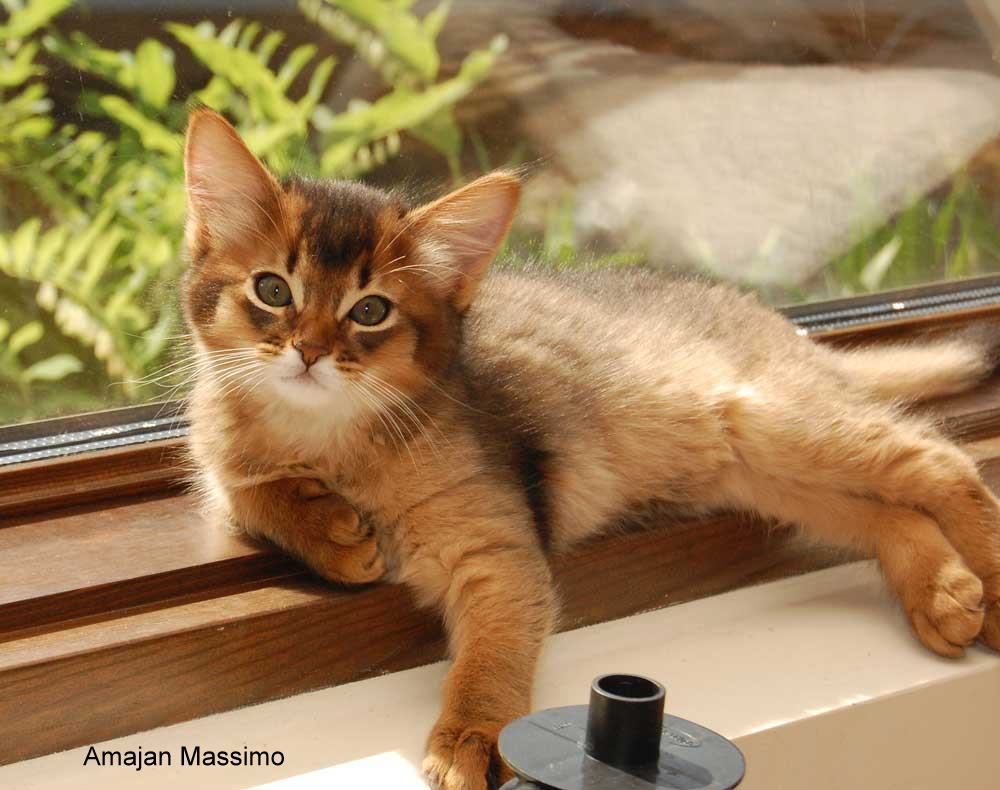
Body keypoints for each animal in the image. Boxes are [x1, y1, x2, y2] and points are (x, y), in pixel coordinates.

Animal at [181, 108, 1000, 790]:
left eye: (371, 310)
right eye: (273, 290)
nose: (310, 352)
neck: (327, 441)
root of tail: (786, 327)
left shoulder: (502, 552)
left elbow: (492, 659)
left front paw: (471, 738)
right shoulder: (220, 466)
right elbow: (245, 490)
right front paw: (331, 531)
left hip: (780, 425)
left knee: (941, 460)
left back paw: (987, 588)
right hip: (767, 479)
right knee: (888, 512)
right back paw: (944, 594)